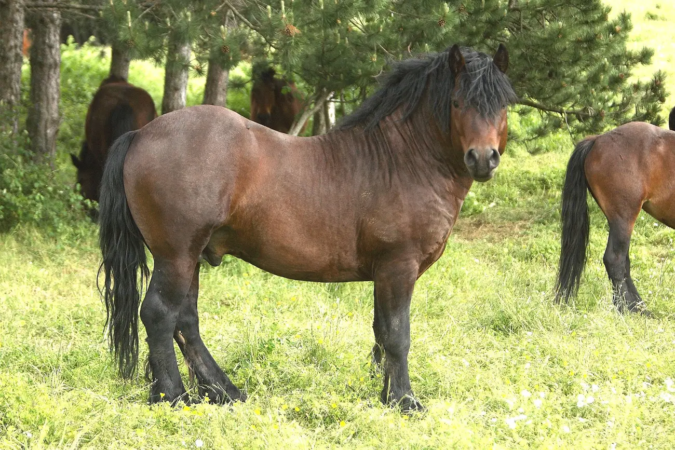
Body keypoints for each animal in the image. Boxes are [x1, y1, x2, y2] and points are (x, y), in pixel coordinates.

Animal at [97, 44, 516, 412]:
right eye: (457, 103)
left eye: (503, 105)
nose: (483, 158)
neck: (400, 160)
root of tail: (141, 135)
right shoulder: (399, 267)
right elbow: (397, 335)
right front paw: (404, 401)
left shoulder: (385, 274)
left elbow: (381, 333)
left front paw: (386, 394)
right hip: (177, 255)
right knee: (159, 315)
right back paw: (173, 396)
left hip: (192, 257)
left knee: (186, 321)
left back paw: (224, 391)